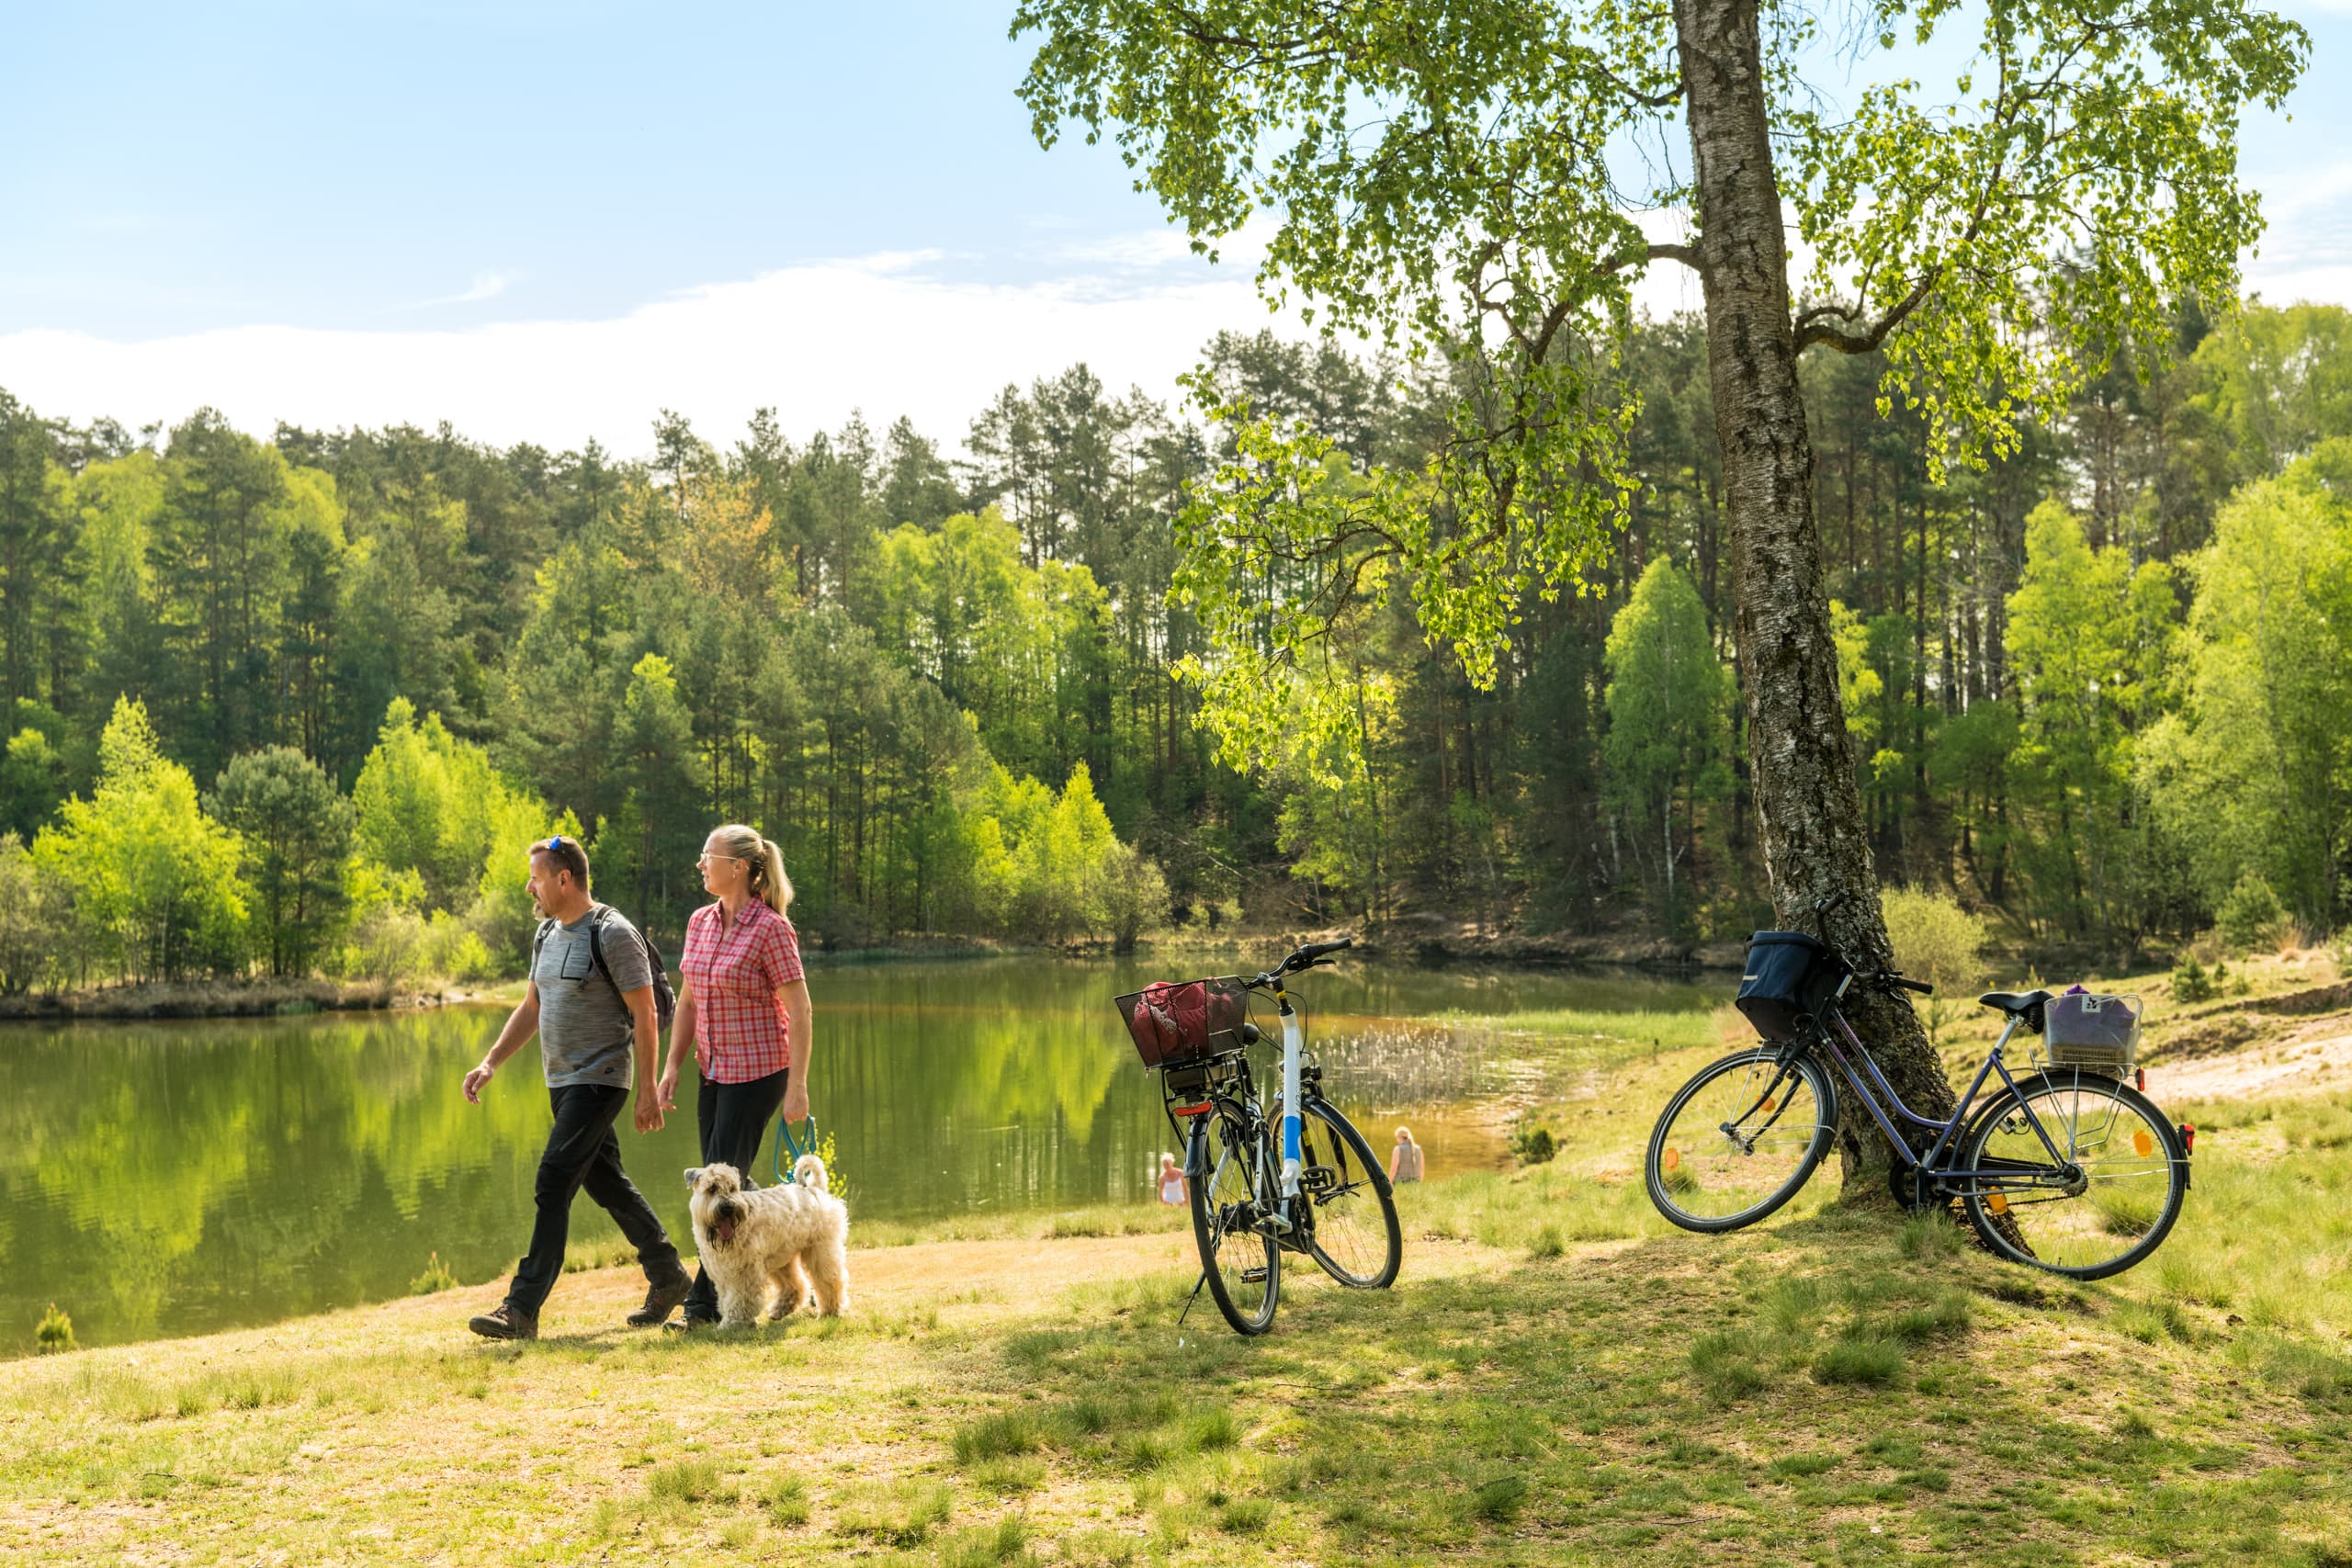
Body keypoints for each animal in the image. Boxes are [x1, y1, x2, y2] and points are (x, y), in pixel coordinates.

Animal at [686, 1161, 851, 1335]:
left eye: (732, 1188)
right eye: (711, 1188)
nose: (727, 1208)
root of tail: (815, 1189)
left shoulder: (743, 1274)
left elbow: (738, 1300)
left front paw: (732, 1324)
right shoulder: (722, 1275)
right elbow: (726, 1300)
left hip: (820, 1251)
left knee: (829, 1281)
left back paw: (830, 1311)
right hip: (781, 1257)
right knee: (796, 1285)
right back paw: (781, 1309)